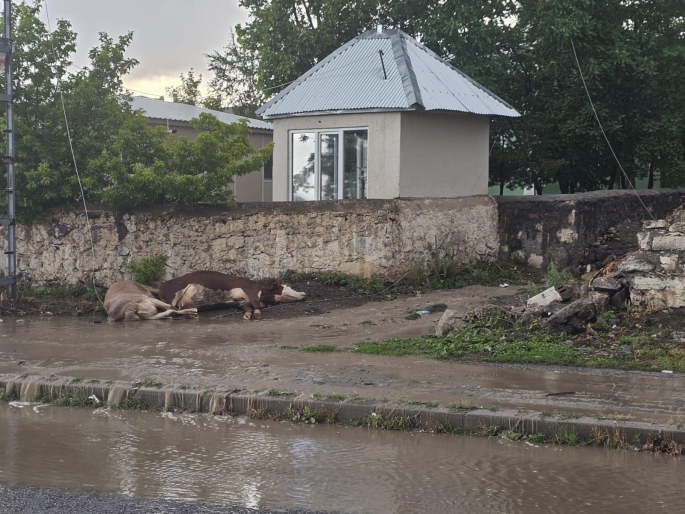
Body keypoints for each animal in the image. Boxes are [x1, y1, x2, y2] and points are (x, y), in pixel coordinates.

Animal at [159, 270, 306, 318]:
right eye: (287, 286)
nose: (304, 293)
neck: (263, 295)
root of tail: (162, 285)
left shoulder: (239, 303)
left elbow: (247, 308)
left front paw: (247, 315)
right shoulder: (251, 289)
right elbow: (255, 305)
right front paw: (257, 313)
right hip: (173, 295)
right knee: (170, 309)